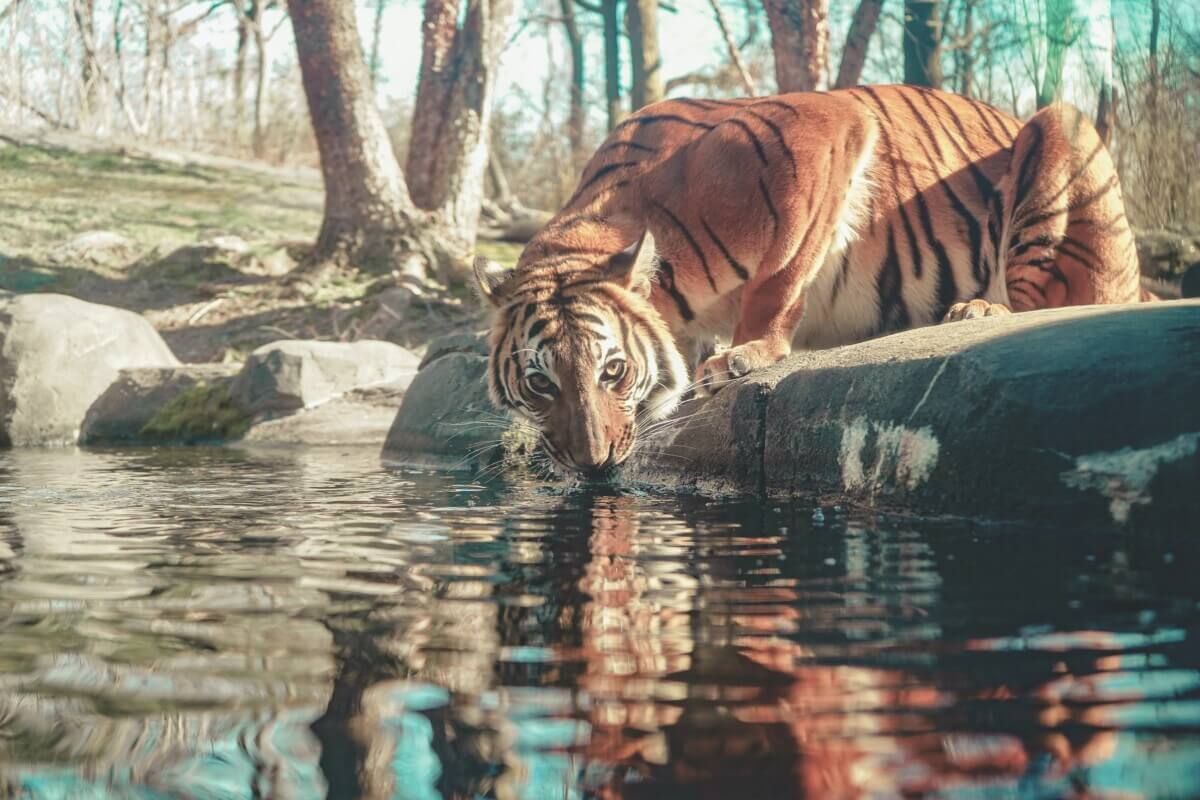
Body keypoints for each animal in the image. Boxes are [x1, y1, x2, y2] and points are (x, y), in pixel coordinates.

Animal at [477, 84, 1152, 479]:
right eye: (539, 383)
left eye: (612, 371)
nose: (591, 466)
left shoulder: (827, 127)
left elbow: (781, 274)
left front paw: (744, 353)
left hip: (1062, 131)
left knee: (1048, 296)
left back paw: (980, 310)